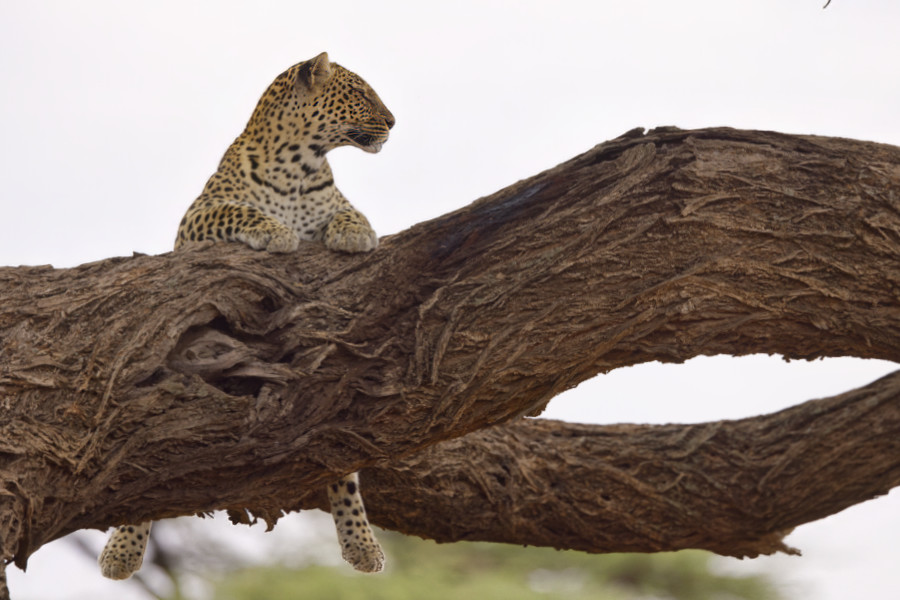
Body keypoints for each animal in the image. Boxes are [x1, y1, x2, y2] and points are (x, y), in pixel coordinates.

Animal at [98, 52, 393, 581]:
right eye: (361, 92)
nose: (394, 122)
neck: (301, 163)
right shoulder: (199, 218)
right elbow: (240, 212)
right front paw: (275, 231)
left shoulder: (336, 203)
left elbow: (351, 214)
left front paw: (353, 234)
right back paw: (122, 550)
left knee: (343, 474)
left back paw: (362, 545)